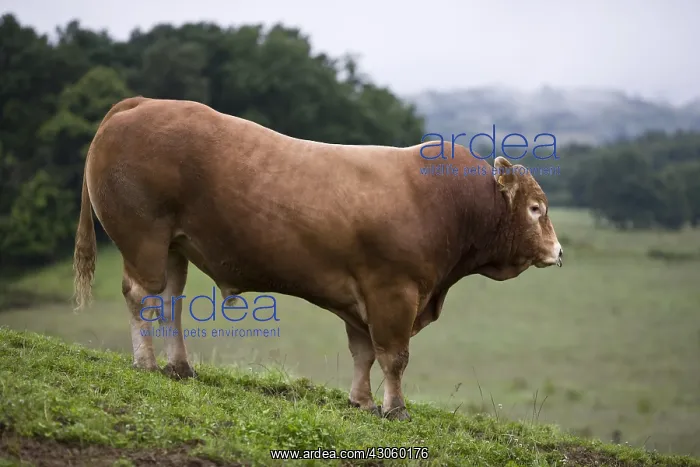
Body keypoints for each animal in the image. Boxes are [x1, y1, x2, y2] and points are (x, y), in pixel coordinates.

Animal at [73, 96, 563, 421]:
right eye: (536, 209)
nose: (558, 251)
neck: (451, 203)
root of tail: (144, 102)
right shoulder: (393, 292)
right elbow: (394, 356)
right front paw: (395, 409)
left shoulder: (363, 298)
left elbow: (363, 353)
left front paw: (362, 401)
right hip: (144, 238)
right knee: (142, 297)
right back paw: (147, 362)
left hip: (175, 246)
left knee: (170, 303)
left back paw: (180, 366)